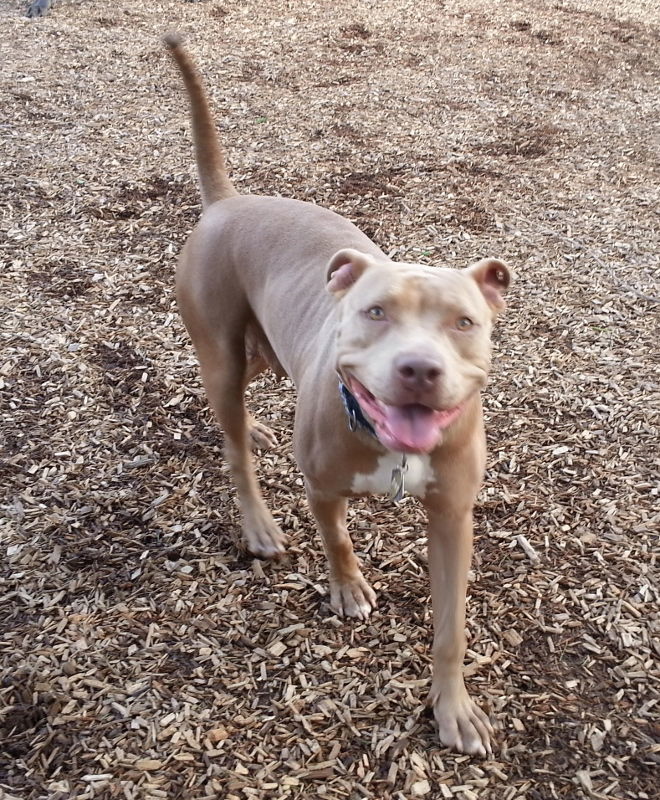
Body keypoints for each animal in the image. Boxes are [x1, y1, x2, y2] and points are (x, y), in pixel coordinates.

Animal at [164, 32, 510, 756]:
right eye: (376, 312)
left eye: (464, 322)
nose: (418, 369)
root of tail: (228, 202)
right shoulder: (323, 488)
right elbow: (338, 541)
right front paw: (348, 590)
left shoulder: (452, 516)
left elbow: (451, 627)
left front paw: (453, 707)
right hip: (220, 345)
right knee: (232, 444)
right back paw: (259, 518)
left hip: (265, 347)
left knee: (244, 399)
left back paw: (257, 426)